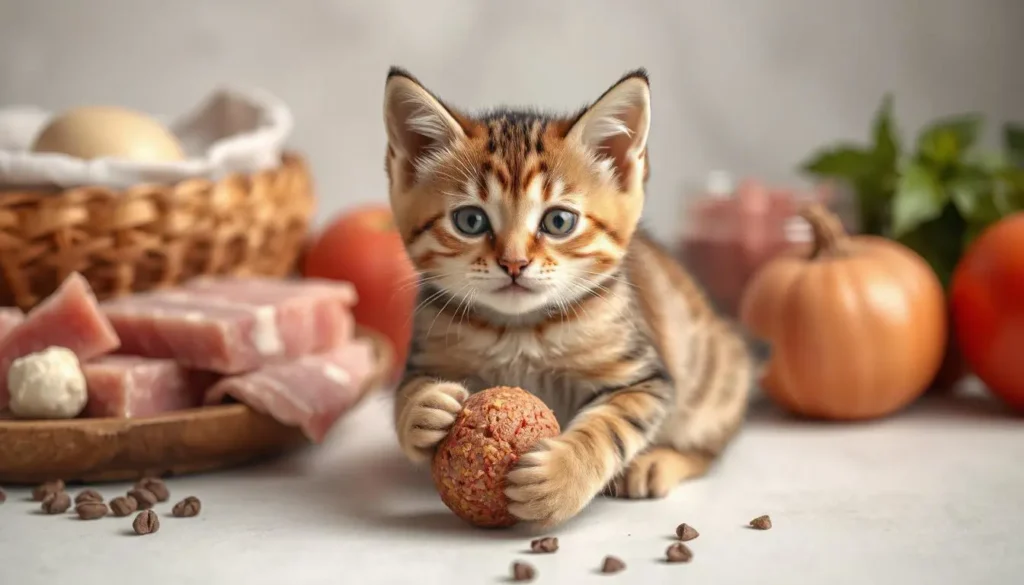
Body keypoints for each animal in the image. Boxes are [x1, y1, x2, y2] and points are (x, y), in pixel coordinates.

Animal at [385, 66, 770, 528]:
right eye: (471, 220)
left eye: (558, 222)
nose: (513, 263)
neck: (519, 329)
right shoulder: (428, 351)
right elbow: (406, 392)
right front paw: (422, 409)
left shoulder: (642, 376)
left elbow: (611, 427)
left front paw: (559, 478)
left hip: (713, 387)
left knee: (709, 447)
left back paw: (657, 463)